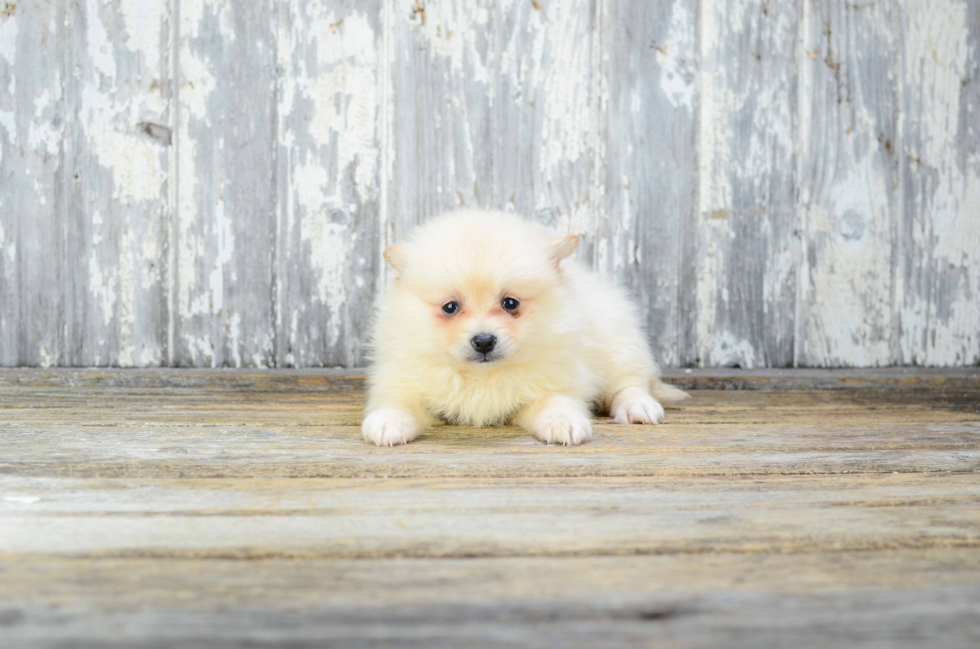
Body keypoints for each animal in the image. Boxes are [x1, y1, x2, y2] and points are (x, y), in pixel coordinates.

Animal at [362, 209, 688, 446]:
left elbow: (557, 402)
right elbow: (397, 400)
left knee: (630, 383)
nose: (484, 341)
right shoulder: (404, 376)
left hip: (618, 342)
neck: (482, 377)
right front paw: (388, 422)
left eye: (510, 303)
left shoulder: (555, 379)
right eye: (450, 307)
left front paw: (564, 423)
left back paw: (638, 408)